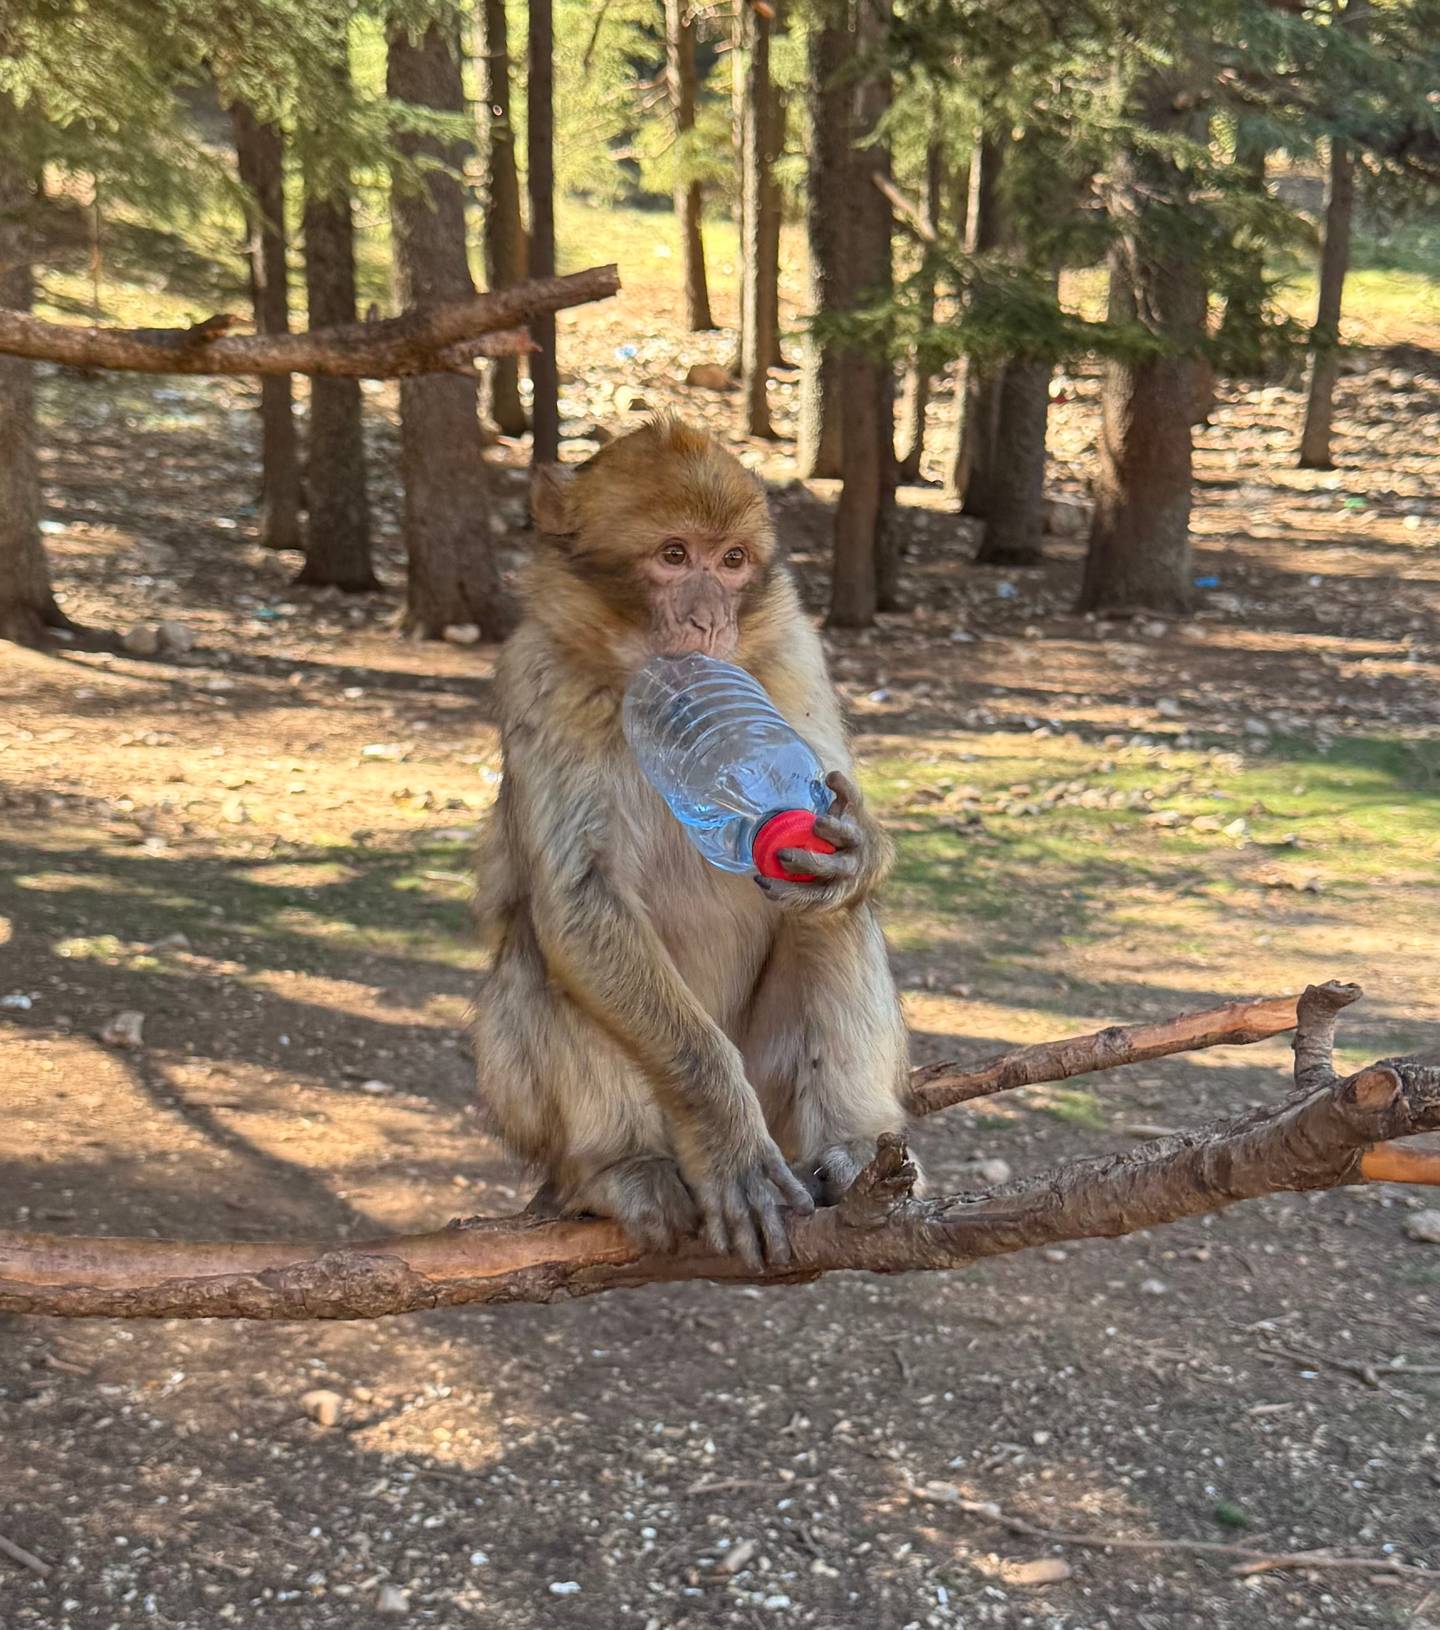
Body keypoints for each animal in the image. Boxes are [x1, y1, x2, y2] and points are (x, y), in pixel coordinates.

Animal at [470, 415, 910, 1267]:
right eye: (674, 556)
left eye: (731, 561)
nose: (710, 620)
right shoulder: (536, 675)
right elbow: (581, 904)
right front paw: (729, 1149)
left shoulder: (794, 651)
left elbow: (836, 851)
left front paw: (857, 849)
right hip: (543, 1119)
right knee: (543, 951)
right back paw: (620, 1169)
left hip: (776, 1085)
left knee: (830, 918)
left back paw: (853, 1144)